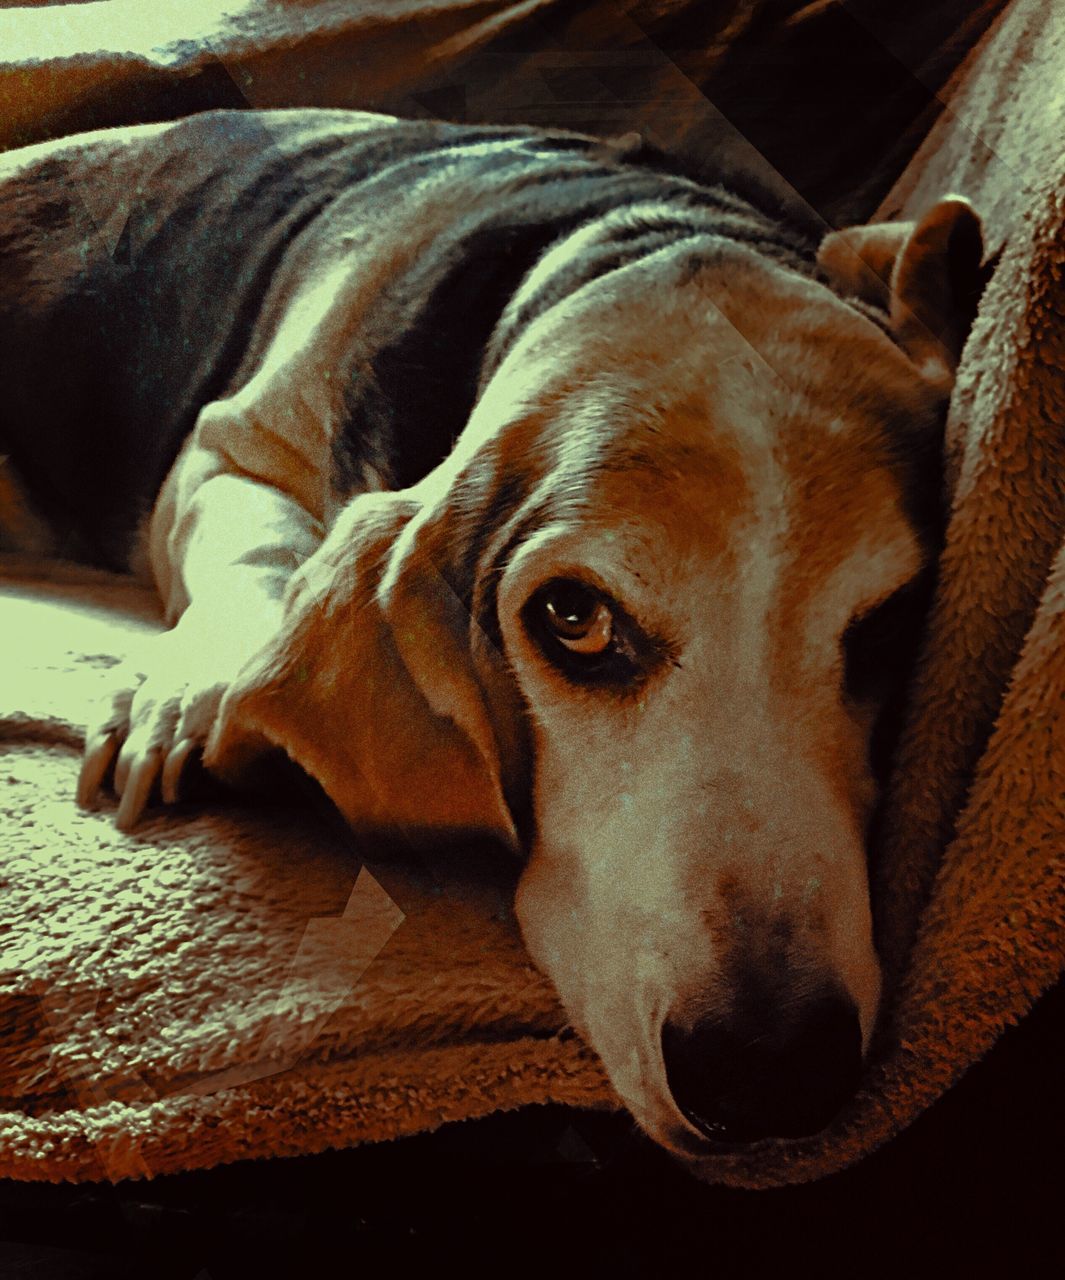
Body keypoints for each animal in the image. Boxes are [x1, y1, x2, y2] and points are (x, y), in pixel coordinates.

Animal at [0, 104, 988, 1157]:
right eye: (573, 619)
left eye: (893, 623)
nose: (770, 1075)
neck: (628, 236)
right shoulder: (232, 447)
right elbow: (252, 544)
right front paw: (189, 694)